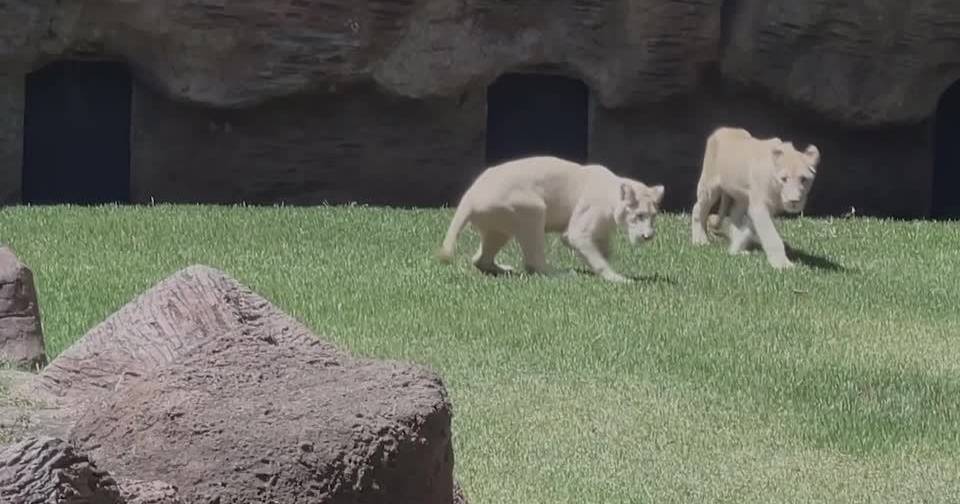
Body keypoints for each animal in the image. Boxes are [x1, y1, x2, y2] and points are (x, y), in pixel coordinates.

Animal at [436, 156, 665, 283]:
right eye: (639, 215)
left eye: (653, 216)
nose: (648, 236)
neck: (611, 191)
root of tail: (469, 195)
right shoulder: (586, 214)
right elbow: (576, 238)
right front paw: (618, 278)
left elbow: (602, 248)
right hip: (530, 208)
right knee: (534, 257)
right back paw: (562, 275)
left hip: (497, 222)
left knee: (482, 255)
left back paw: (504, 269)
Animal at [690, 126, 820, 269]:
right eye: (784, 179)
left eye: (803, 179)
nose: (794, 201)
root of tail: (722, 129)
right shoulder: (759, 207)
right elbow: (771, 235)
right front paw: (782, 264)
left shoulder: (762, 207)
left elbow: (750, 228)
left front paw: (737, 247)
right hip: (709, 185)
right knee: (698, 208)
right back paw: (700, 240)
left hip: (741, 196)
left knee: (734, 215)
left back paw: (737, 248)